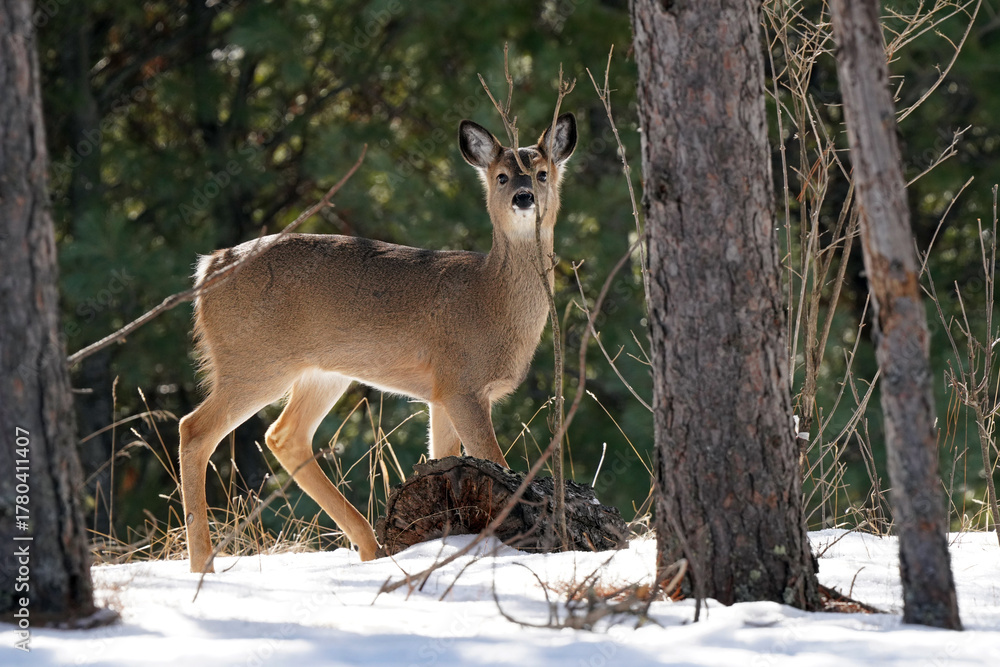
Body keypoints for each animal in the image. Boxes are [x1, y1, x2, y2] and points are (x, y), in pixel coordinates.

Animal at [178, 113, 577, 573]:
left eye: (542, 173)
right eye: (501, 177)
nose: (524, 196)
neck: (489, 297)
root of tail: (208, 267)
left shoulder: (441, 392)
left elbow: (445, 458)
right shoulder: (463, 382)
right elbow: (495, 461)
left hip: (321, 372)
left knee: (284, 435)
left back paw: (369, 547)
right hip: (254, 359)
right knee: (194, 429)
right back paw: (203, 564)